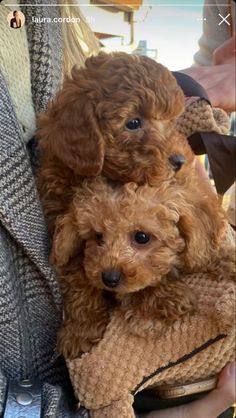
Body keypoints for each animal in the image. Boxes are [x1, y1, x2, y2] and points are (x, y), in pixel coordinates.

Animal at [51, 178, 230, 358]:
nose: (109, 278)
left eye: (142, 237)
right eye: (98, 236)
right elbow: (81, 287)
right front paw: (78, 332)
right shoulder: (77, 263)